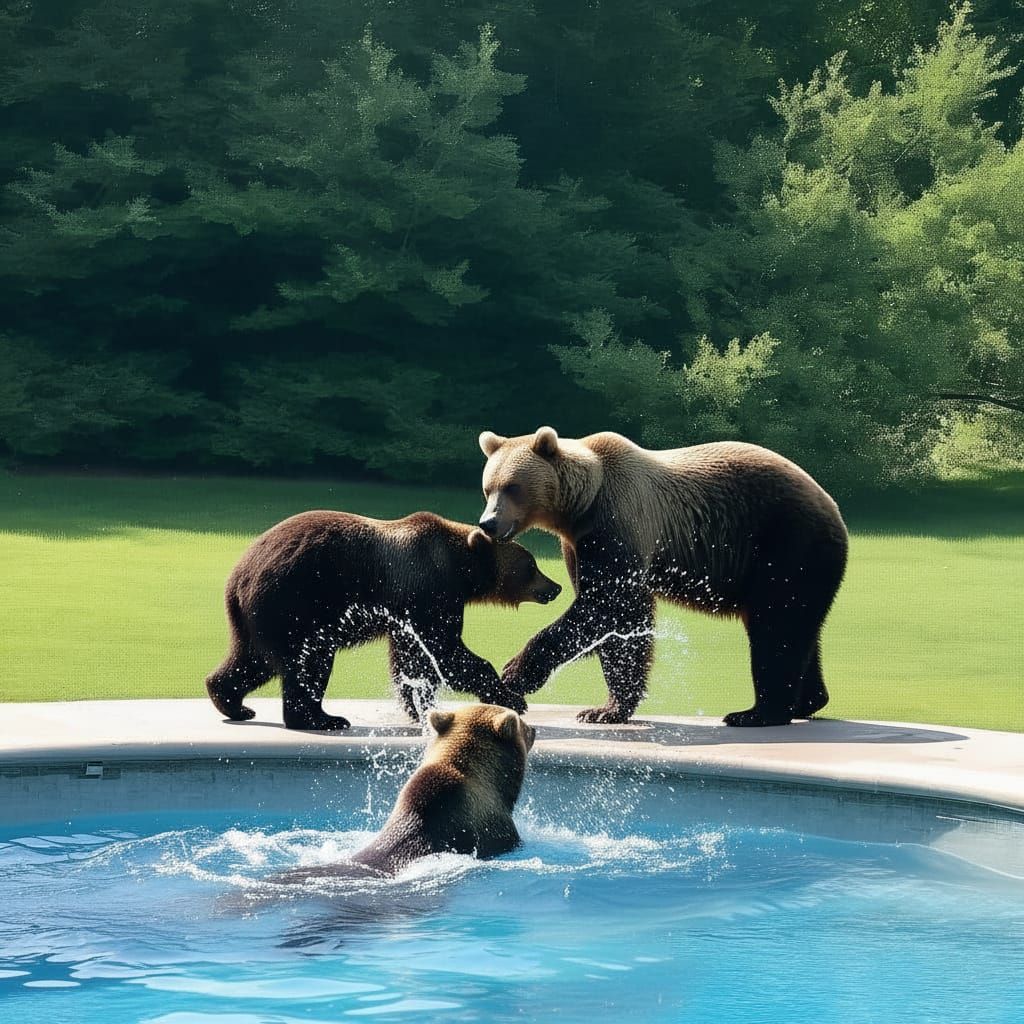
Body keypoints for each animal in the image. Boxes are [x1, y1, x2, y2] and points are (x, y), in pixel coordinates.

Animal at [205, 510, 561, 731]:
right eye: (532, 565)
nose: (555, 587)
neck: (461, 570)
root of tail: (237, 577)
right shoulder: (429, 590)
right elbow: (447, 651)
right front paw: (512, 696)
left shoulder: (408, 612)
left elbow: (412, 660)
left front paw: (420, 706)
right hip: (295, 601)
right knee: (309, 662)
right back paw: (322, 718)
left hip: (260, 616)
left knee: (252, 660)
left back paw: (232, 702)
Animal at [477, 427, 848, 727]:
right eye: (487, 488)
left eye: (512, 486)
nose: (488, 523)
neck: (582, 506)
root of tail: (833, 506)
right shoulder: (579, 544)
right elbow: (625, 624)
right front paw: (606, 709)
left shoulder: (618, 523)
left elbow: (605, 605)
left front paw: (514, 672)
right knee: (796, 625)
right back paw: (807, 700)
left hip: (785, 544)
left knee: (776, 625)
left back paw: (757, 713)